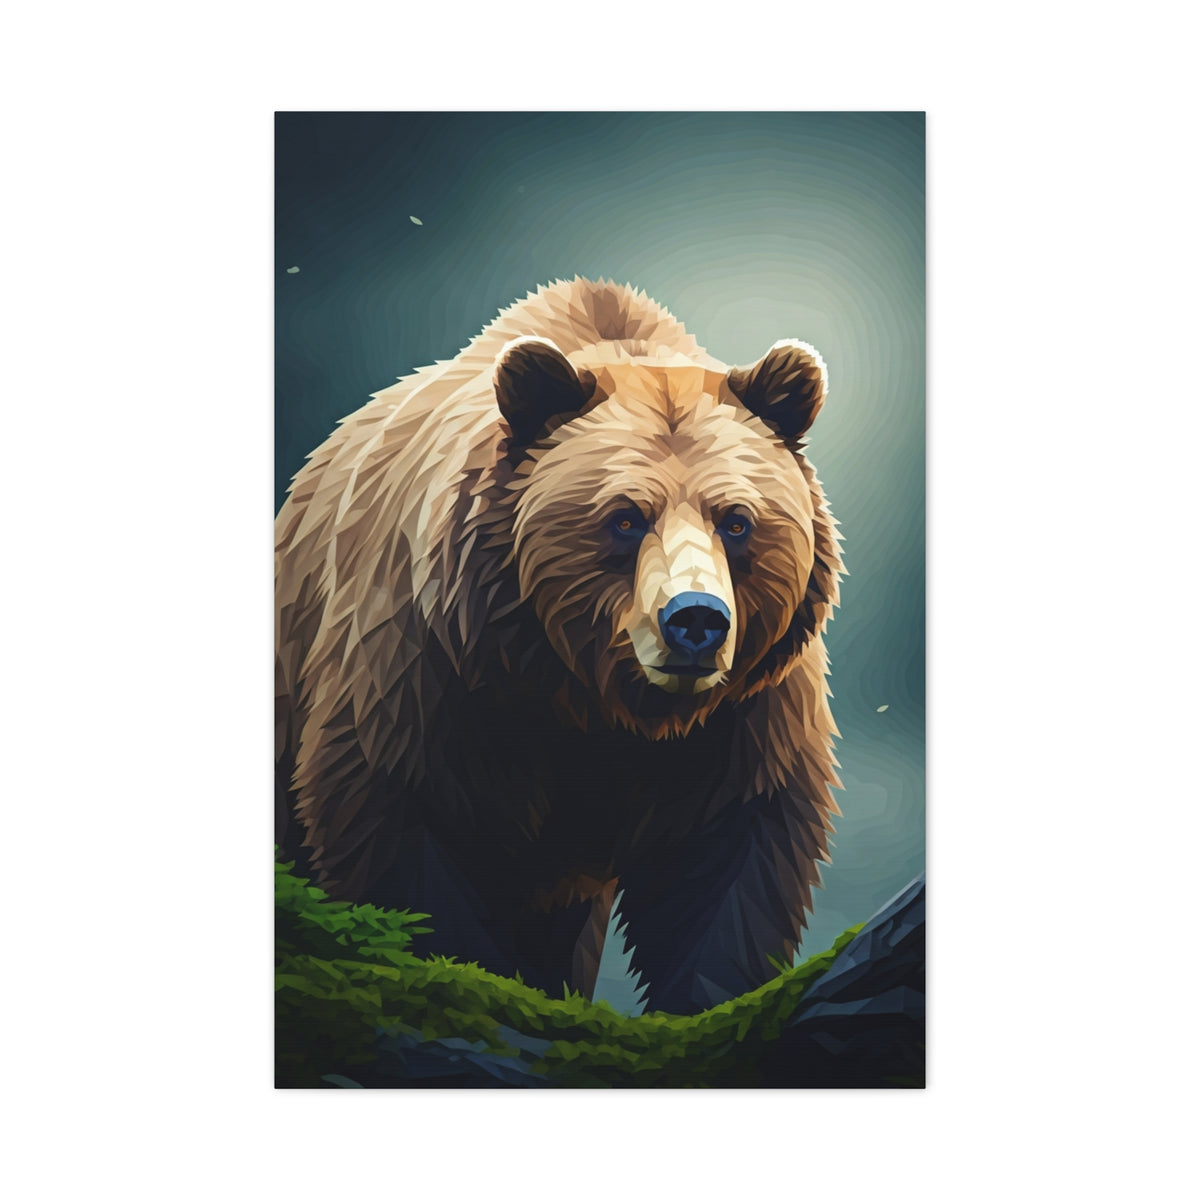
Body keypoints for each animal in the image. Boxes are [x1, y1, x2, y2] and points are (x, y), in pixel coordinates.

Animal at [275, 278, 843, 1015]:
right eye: (625, 517)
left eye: (737, 520)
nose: (695, 619)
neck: (589, 698)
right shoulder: (428, 674)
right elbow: (407, 837)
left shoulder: (745, 715)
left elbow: (731, 871)